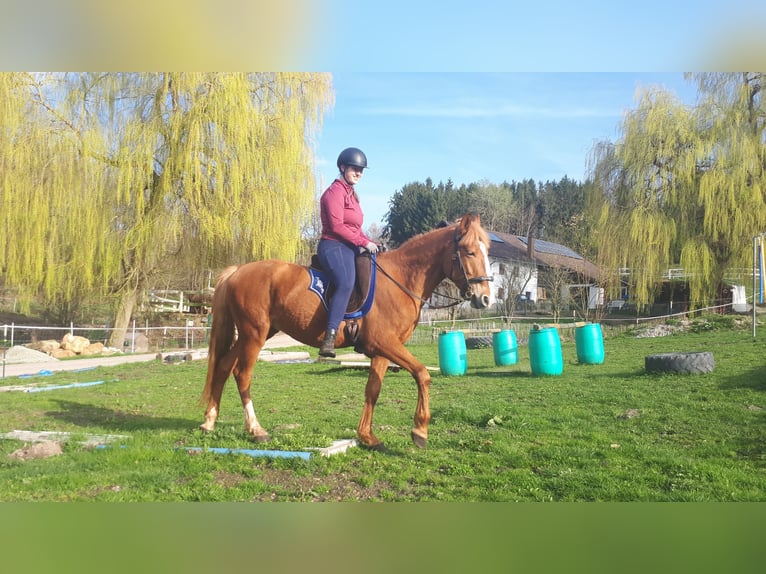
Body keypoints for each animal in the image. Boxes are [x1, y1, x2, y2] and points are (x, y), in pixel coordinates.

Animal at [201, 214, 496, 452]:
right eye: (470, 252)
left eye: (487, 251)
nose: (485, 298)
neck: (401, 279)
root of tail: (238, 270)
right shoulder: (385, 343)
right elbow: (422, 374)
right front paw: (420, 431)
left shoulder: (382, 350)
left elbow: (373, 389)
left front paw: (367, 437)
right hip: (255, 334)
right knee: (242, 374)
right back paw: (256, 429)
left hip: (254, 334)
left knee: (224, 367)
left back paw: (209, 421)